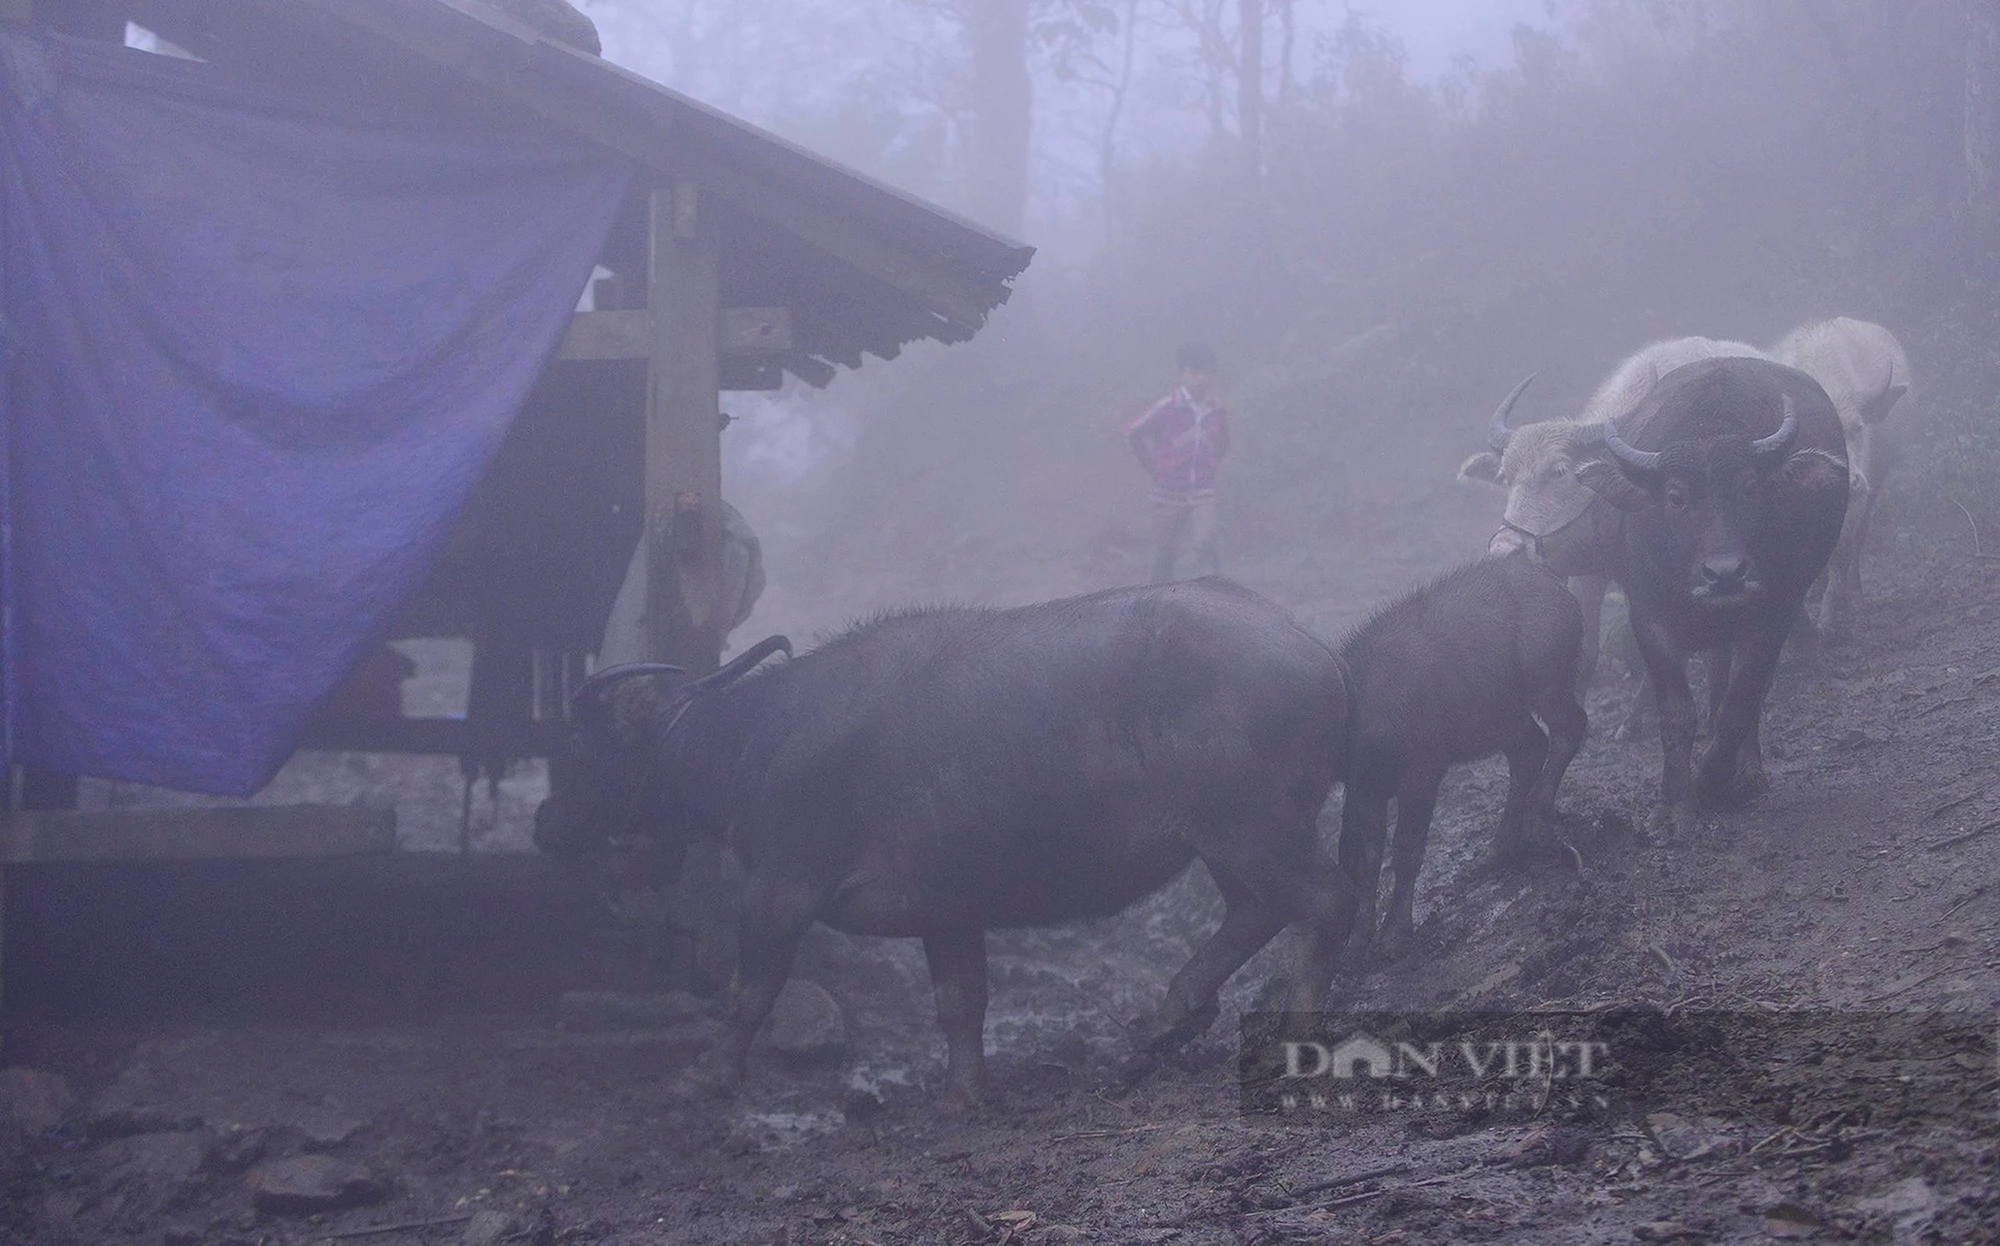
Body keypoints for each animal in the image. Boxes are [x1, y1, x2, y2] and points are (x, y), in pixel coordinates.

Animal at [528, 580, 1360, 1096]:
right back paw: (1163, 1024)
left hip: (1251, 825)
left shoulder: (779, 891)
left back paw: (1292, 1034)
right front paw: (964, 1094)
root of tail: (1318, 650)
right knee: (1256, 911)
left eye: (586, 747)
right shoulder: (947, 908)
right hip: (1228, 838)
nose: (544, 822)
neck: (758, 743)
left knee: (1323, 902)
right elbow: (962, 1000)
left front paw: (703, 1077)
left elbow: (749, 994)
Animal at [1336, 556, 1584, 956]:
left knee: (1569, 730)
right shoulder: (1365, 790)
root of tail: (1554, 586)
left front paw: (1395, 934)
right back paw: (1498, 847)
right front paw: (1357, 942)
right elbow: (1367, 863)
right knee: (1530, 749)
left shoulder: (1422, 774)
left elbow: (1406, 852)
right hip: (1501, 715)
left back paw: (1536, 818)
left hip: (1547, 683)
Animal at [1568, 356, 1848, 832]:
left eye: (1750, 489)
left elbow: (1740, 704)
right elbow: (1677, 714)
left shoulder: (1776, 613)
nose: (1725, 575)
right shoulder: (1649, 617)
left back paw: (1748, 773)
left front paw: (1712, 783)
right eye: (1675, 497)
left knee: (1737, 695)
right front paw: (1673, 807)